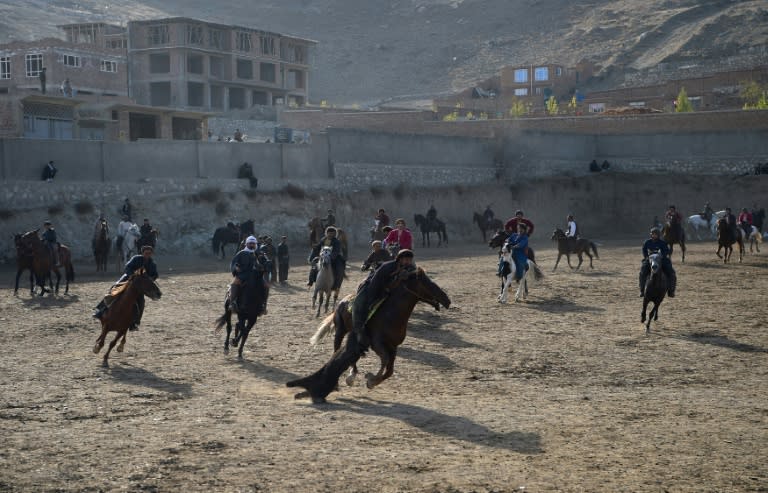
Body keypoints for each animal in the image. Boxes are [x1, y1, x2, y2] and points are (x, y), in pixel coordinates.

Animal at [286, 268, 450, 402]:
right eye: (429, 284)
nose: (447, 300)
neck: (391, 314)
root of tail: (343, 300)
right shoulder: (377, 344)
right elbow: (384, 361)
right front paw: (371, 380)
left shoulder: (393, 346)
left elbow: (390, 370)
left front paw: (373, 381)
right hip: (341, 331)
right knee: (338, 350)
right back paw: (348, 377)